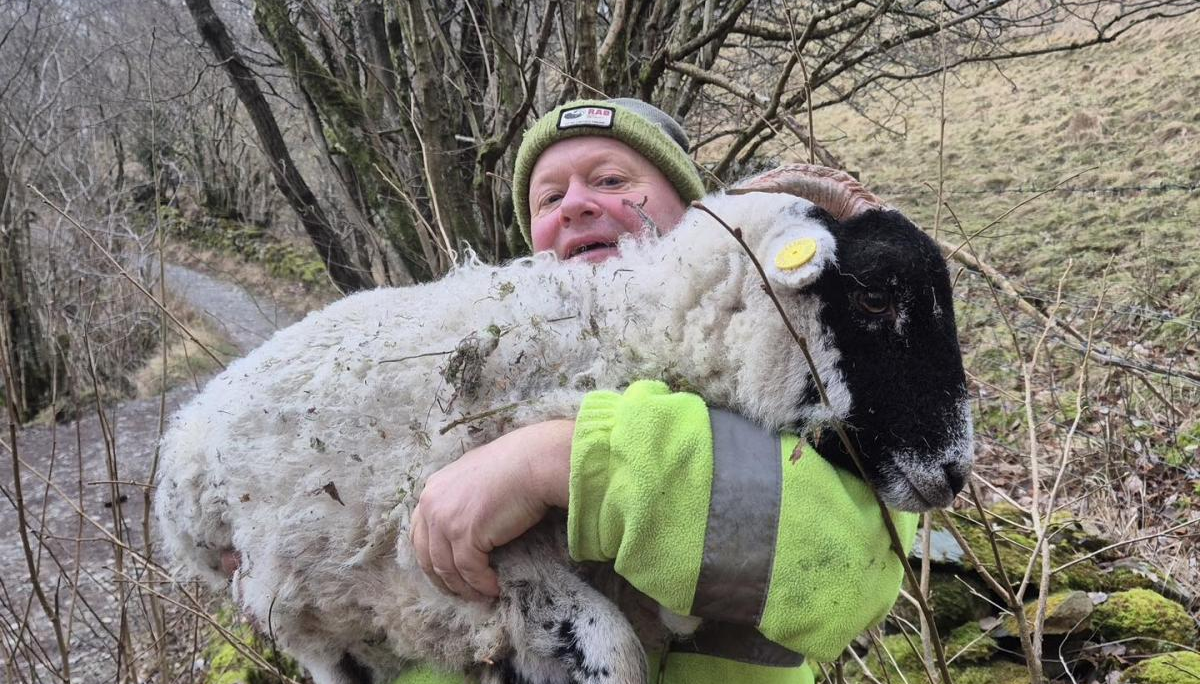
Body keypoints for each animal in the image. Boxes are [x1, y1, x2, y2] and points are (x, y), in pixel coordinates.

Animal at [154, 166, 973, 684]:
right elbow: (614, 653)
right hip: (300, 608)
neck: (627, 333)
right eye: (875, 296)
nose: (954, 472)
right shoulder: (496, 564)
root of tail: (188, 435)